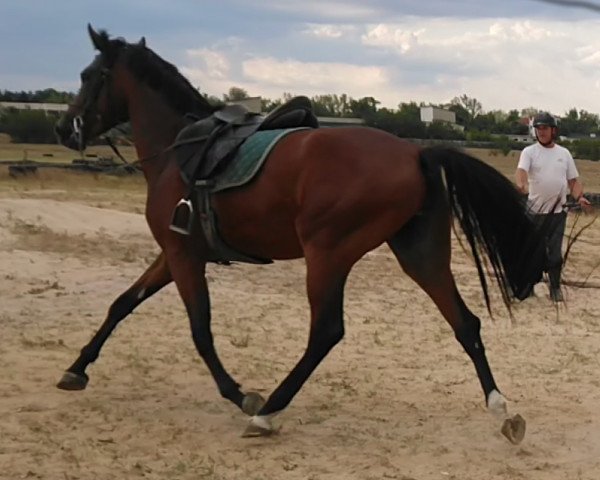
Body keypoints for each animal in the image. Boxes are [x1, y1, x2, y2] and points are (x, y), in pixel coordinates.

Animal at [54, 25, 548, 442]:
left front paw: (241, 395)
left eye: (88, 75)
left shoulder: (182, 255)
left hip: (327, 254)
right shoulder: (173, 254)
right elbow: (122, 304)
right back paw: (502, 411)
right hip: (419, 254)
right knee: (465, 323)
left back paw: (267, 412)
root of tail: (415, 153)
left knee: (326, 332)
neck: (180, 150)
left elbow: (200, 330)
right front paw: (76, 369)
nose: (62, 127)